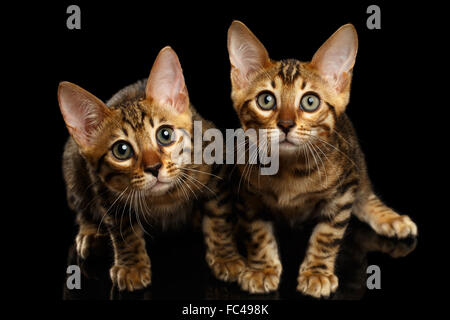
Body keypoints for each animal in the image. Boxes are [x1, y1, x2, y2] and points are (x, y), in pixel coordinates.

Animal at [59, 47, 246, 290]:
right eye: (121, 150)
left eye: (165, 135)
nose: (154, 167)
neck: (164, 198)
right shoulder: (106, 190)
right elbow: (123, 229)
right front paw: (131, 266)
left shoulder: (217, 166)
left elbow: (219, 215)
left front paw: (226, 257)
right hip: (72, 164)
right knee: (83, 209)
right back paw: (90, 234)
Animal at [225, 21, 418, 298]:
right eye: (266, 100)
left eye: (310, 101)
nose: (286, 124)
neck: (288, 169)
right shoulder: (246, 194)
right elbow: (257, 232)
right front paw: (262, 268)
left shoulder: (344, 190)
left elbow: (327, 234)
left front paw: (317, 273)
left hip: (357, 163)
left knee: (365, 196)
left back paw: (391, 219)